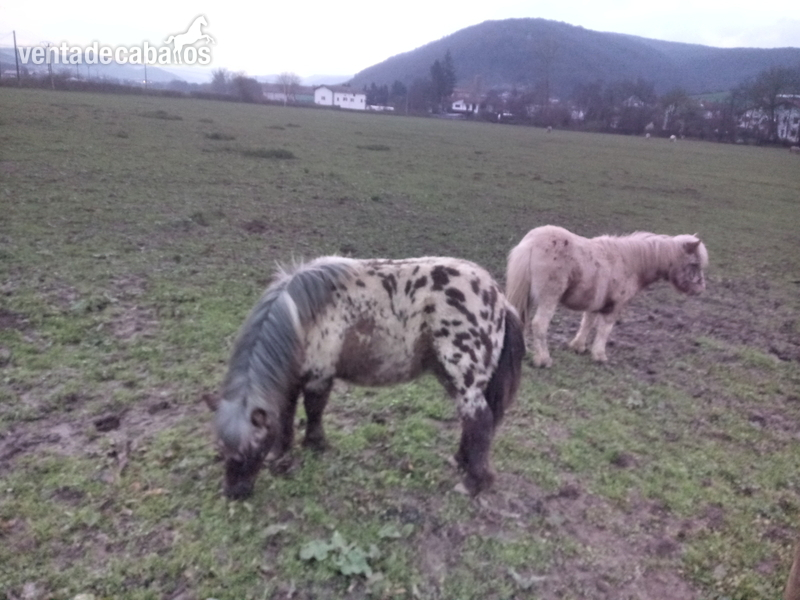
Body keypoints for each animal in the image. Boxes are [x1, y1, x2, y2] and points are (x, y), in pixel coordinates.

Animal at [213, 256, 526, 499]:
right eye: (222, 448)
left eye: (251, 450)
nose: (234, 493)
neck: (301, 316)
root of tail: (499, 298)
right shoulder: (293, 378)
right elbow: (287, 412)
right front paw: (282, 450)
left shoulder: (319, 375)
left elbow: (314, 410)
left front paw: (315, 445)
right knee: (470, 422)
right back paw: (461, 461)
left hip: (464, 377)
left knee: (481, 421)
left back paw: (472, 483)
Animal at [505, 225, 708, 368]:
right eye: (694, 264)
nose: (700, 289)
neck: (630, 262)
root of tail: (531, 243)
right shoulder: (615, 306)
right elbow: (605, 329)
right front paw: (599, 356)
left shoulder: (595, 302)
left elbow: (587, 323)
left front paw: (578, 347)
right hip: (549, 298)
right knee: (539, 324)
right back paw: (543, 360)